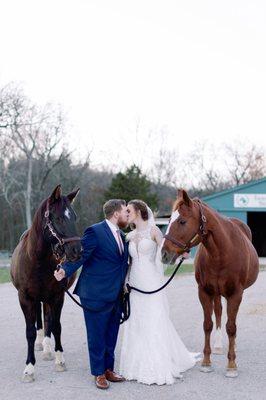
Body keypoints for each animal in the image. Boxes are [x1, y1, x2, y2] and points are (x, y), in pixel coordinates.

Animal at [10, 184, 82, 382]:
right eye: (58, 218)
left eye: (74, 217)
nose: (77, 250)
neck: (37, 261)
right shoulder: (25, 298)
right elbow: (30, 331)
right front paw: (29, 369)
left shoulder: (57, 296)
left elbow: (56, 326)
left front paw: (59, 360)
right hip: (37, 299)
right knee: (40, 321)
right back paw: (41, 344)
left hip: (48, 298)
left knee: (48, 319)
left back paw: (48, 350)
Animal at [161, 191, 258, 378]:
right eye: (168, 221)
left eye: (182, 221)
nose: (164, 254)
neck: (222, 252)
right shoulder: (204, 292)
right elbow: (208, 324)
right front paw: (206, 362)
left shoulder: (236, 294)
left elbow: (231, 327)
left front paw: (231, 365)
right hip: (217, 293)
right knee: (219, 312)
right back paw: (219, 346)